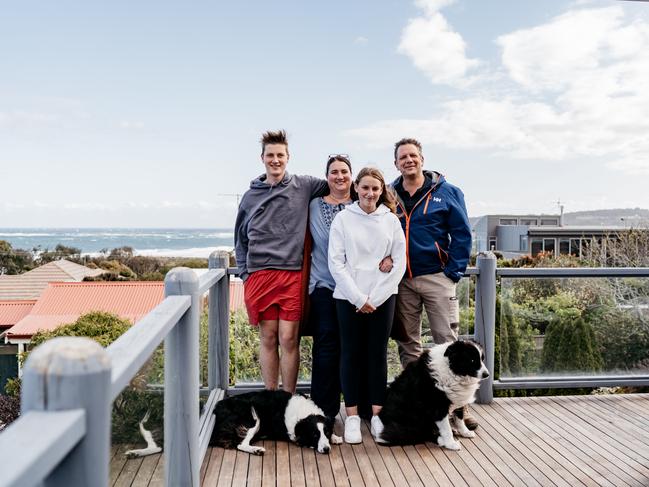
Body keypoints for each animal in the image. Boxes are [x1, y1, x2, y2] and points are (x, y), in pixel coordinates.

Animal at [209, 390, 344, 456]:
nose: (326, 449)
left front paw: (335, 437)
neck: (306, 413)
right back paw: (257, 450)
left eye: (327, 433)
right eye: (315, 435)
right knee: (240, 444)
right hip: (253, 418)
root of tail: (216, 408)